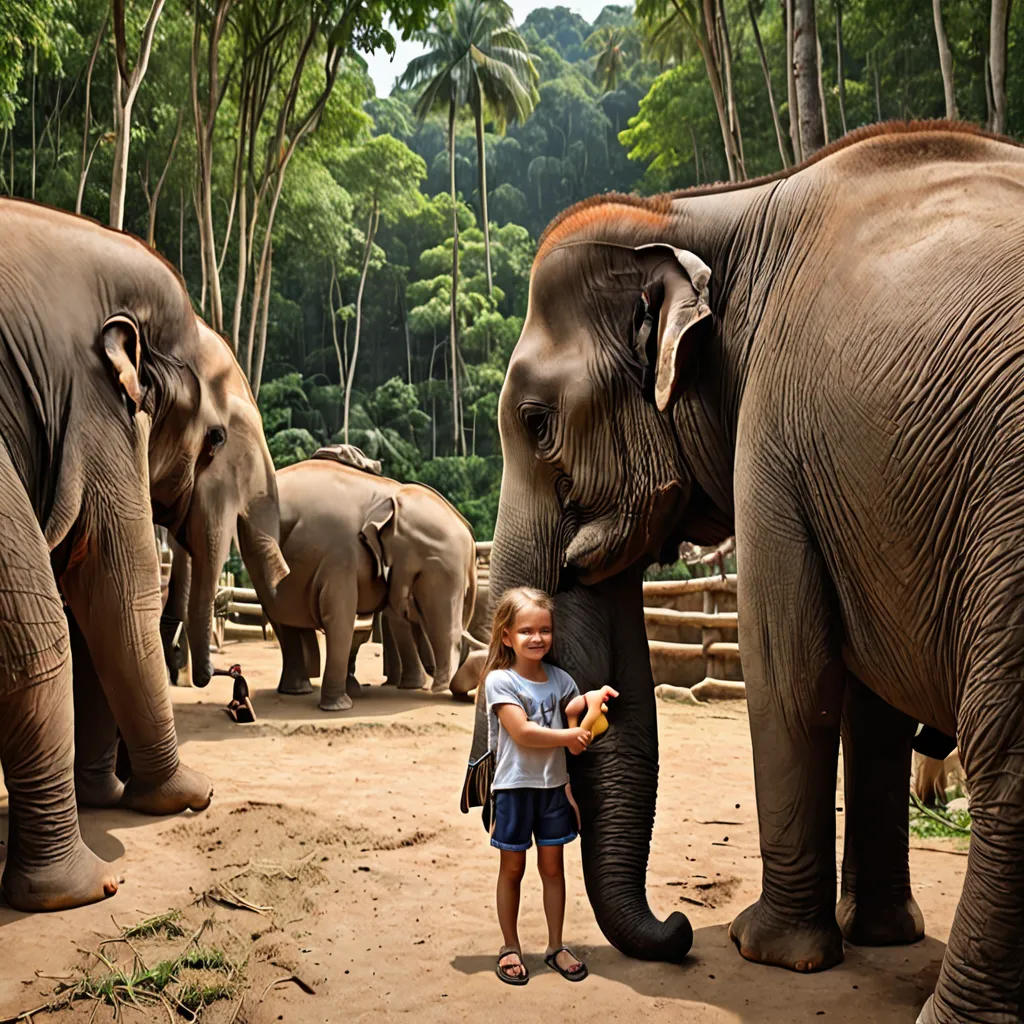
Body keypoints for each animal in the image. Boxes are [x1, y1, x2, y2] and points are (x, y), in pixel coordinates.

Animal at [265, 447, 477, 711]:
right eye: (422, 576)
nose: (438, 688)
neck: (391, 494)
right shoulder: (342, 555)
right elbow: (342, 616)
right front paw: (340, 707)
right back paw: (304, 691)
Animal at [488, 123, 1024, 1021]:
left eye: (535, 422)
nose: (676, 929)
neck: (705, 211)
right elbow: (871, 710)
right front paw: (881, 937)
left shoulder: (775, 436)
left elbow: (791, 677)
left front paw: (766, 951)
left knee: (1006, 742)